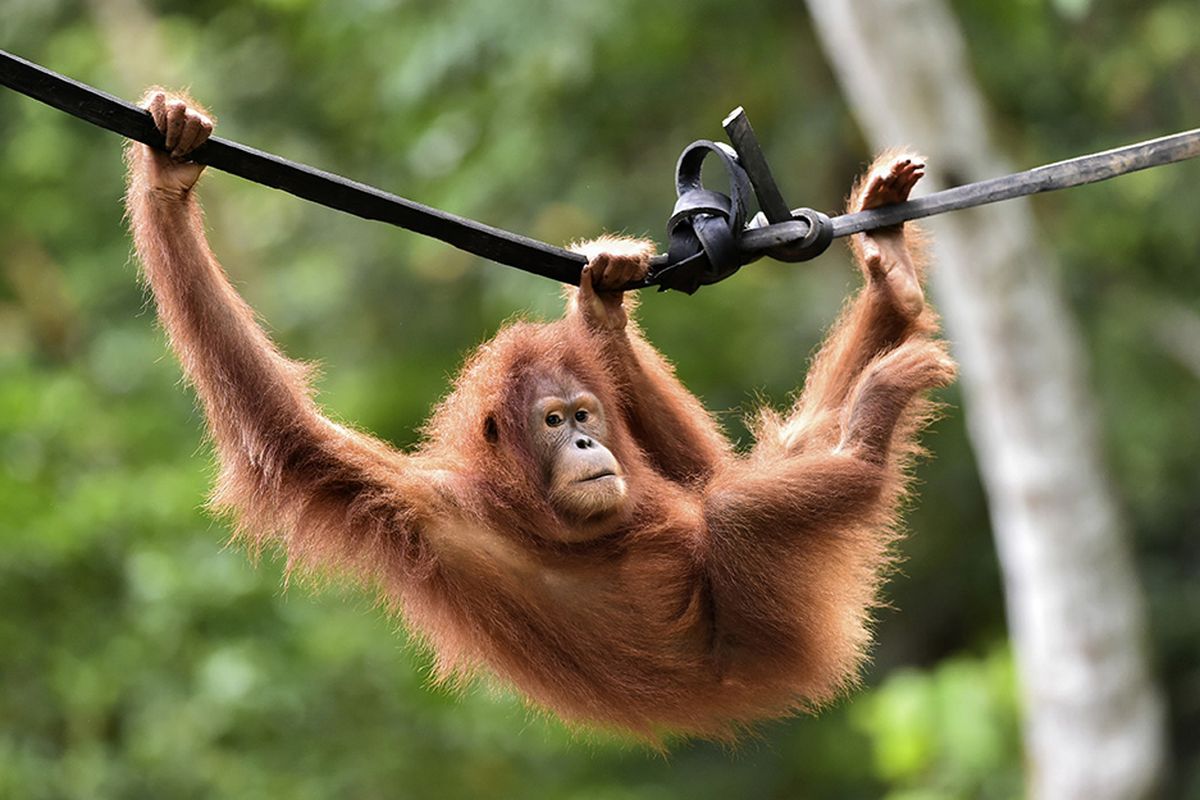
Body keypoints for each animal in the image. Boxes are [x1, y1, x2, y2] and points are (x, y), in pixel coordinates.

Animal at [124, 90, 955, 739]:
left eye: (585, 413)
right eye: (553, 423)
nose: (587, 441)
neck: (547, 521)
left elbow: (705, 472)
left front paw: (601, 302)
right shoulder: (427, 507)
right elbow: (287, 435)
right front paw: (168, 180)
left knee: (743, 484)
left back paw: (887, 277)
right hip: (781, 621)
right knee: (740, 510)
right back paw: (870, 421)